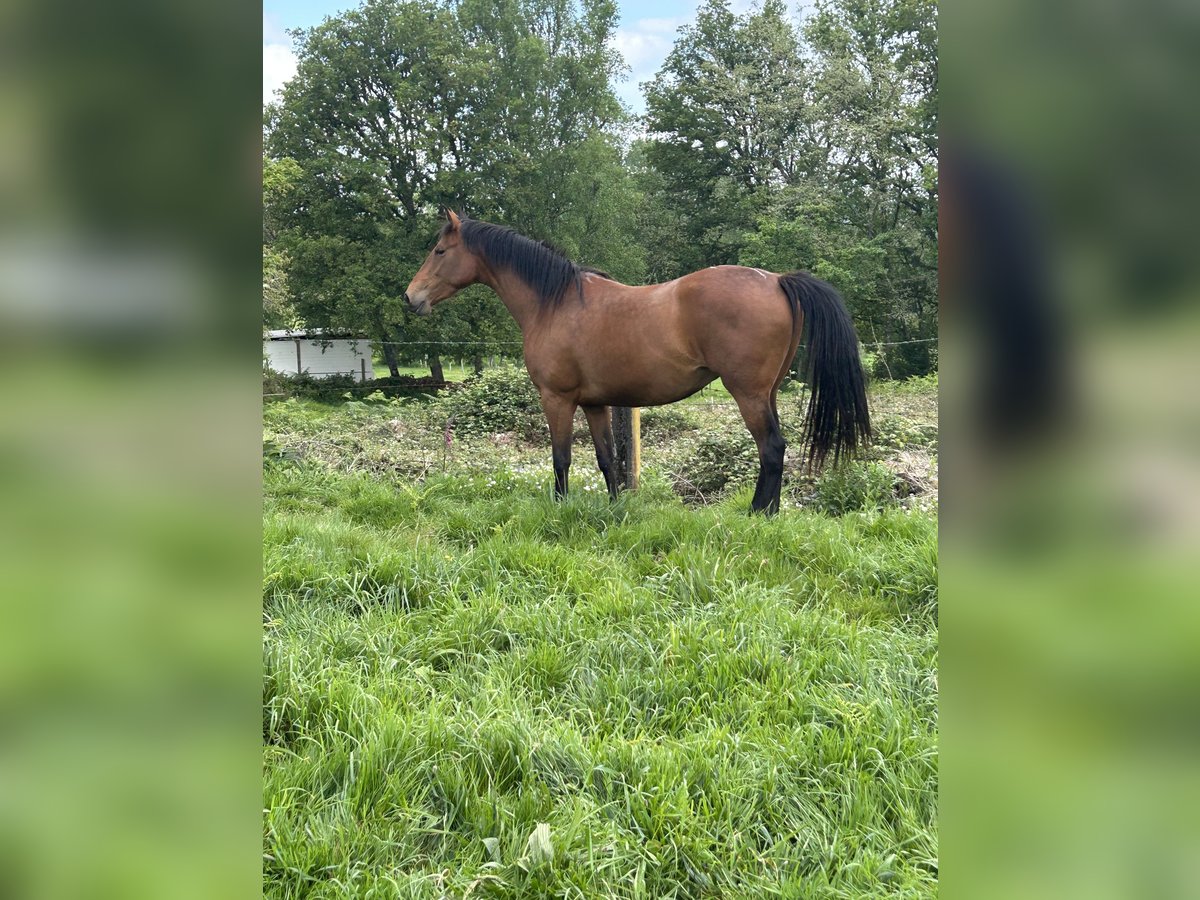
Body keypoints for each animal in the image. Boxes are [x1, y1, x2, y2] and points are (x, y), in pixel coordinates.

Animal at [408, 207, 868, 511]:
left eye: (439, 251)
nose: (411, 297)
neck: (554, 303)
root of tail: (775, 280)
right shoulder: (595, 404)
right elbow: (606, 459)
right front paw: (615, 509)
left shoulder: (557, 399)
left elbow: (561, 458)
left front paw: (558, 508)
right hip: (767, 392)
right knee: (776, 450)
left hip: (748, 394)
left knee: (771, 449)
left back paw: (758, 514)